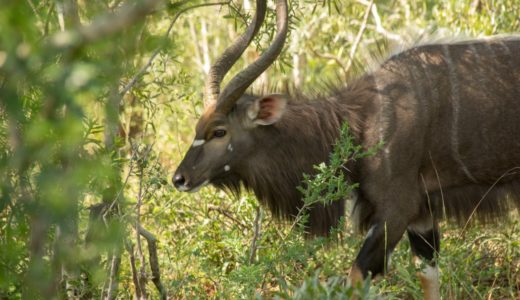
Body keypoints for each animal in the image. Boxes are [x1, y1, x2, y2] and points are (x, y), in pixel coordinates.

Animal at [173, 1, 516, 298]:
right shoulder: (422, 214)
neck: (360, 120)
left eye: (219, 131)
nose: (179, 178)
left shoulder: (397, 210)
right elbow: (428, 275)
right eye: (197, 127)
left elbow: (355, 277)